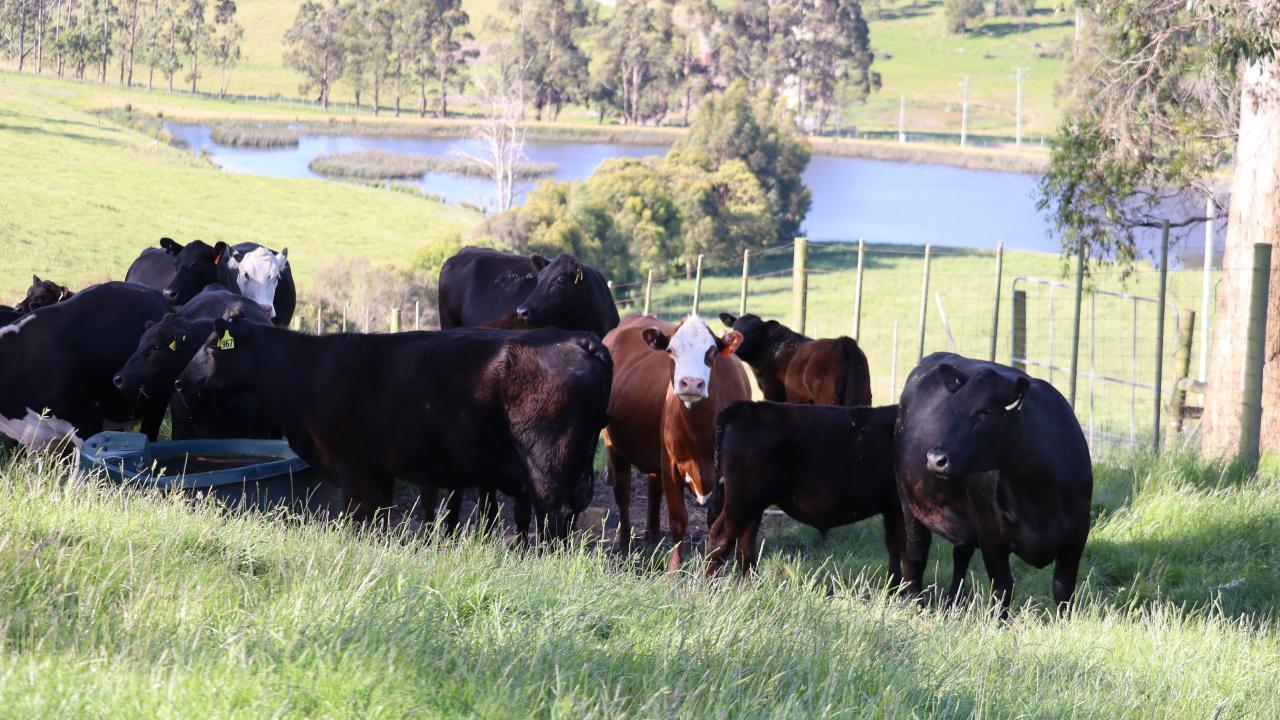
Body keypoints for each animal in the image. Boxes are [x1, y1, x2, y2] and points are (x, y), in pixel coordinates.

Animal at [176, 320, 612, 539]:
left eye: (214, 346)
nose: (179, 381)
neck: (307, 372)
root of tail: (579, 339)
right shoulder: (379, 473)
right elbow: (379, 522)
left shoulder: (356, 470)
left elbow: (359, 521)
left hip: (547, 464)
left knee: (554, 516)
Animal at [602, 314, 750, 568]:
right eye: (671, 350)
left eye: (711, 352)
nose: (691, 383)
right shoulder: (671, 464)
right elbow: (678, 519)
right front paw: (673, 570)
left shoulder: (724, 474)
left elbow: (714, 523)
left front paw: (712, 568)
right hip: (615, 447)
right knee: (623, 493)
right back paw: (623, 549)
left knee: (653, 489)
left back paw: (651, 539)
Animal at [707, 402, 902, 578]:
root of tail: (744, 407)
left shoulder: (892, 510)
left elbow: (895, 549)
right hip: (742, 501)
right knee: (720, 538)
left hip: (752, 505)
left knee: (744, 545)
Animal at [718, 312, 871, 407]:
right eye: (734, 329)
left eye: (751, 332)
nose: (733, 345)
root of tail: (843, 342)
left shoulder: (772, 393)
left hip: (828, 399)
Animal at [895, 352, 1093, 614]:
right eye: (953, 408)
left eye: (987, 411)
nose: (935, 459)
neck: (1036, 494)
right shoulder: (991, 535)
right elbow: (1003, 590)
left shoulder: (1078, 534)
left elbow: (1064, 591)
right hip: (908, 500)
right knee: (916, 551)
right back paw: (914, 601)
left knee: (961, 554)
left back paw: (953, 601)